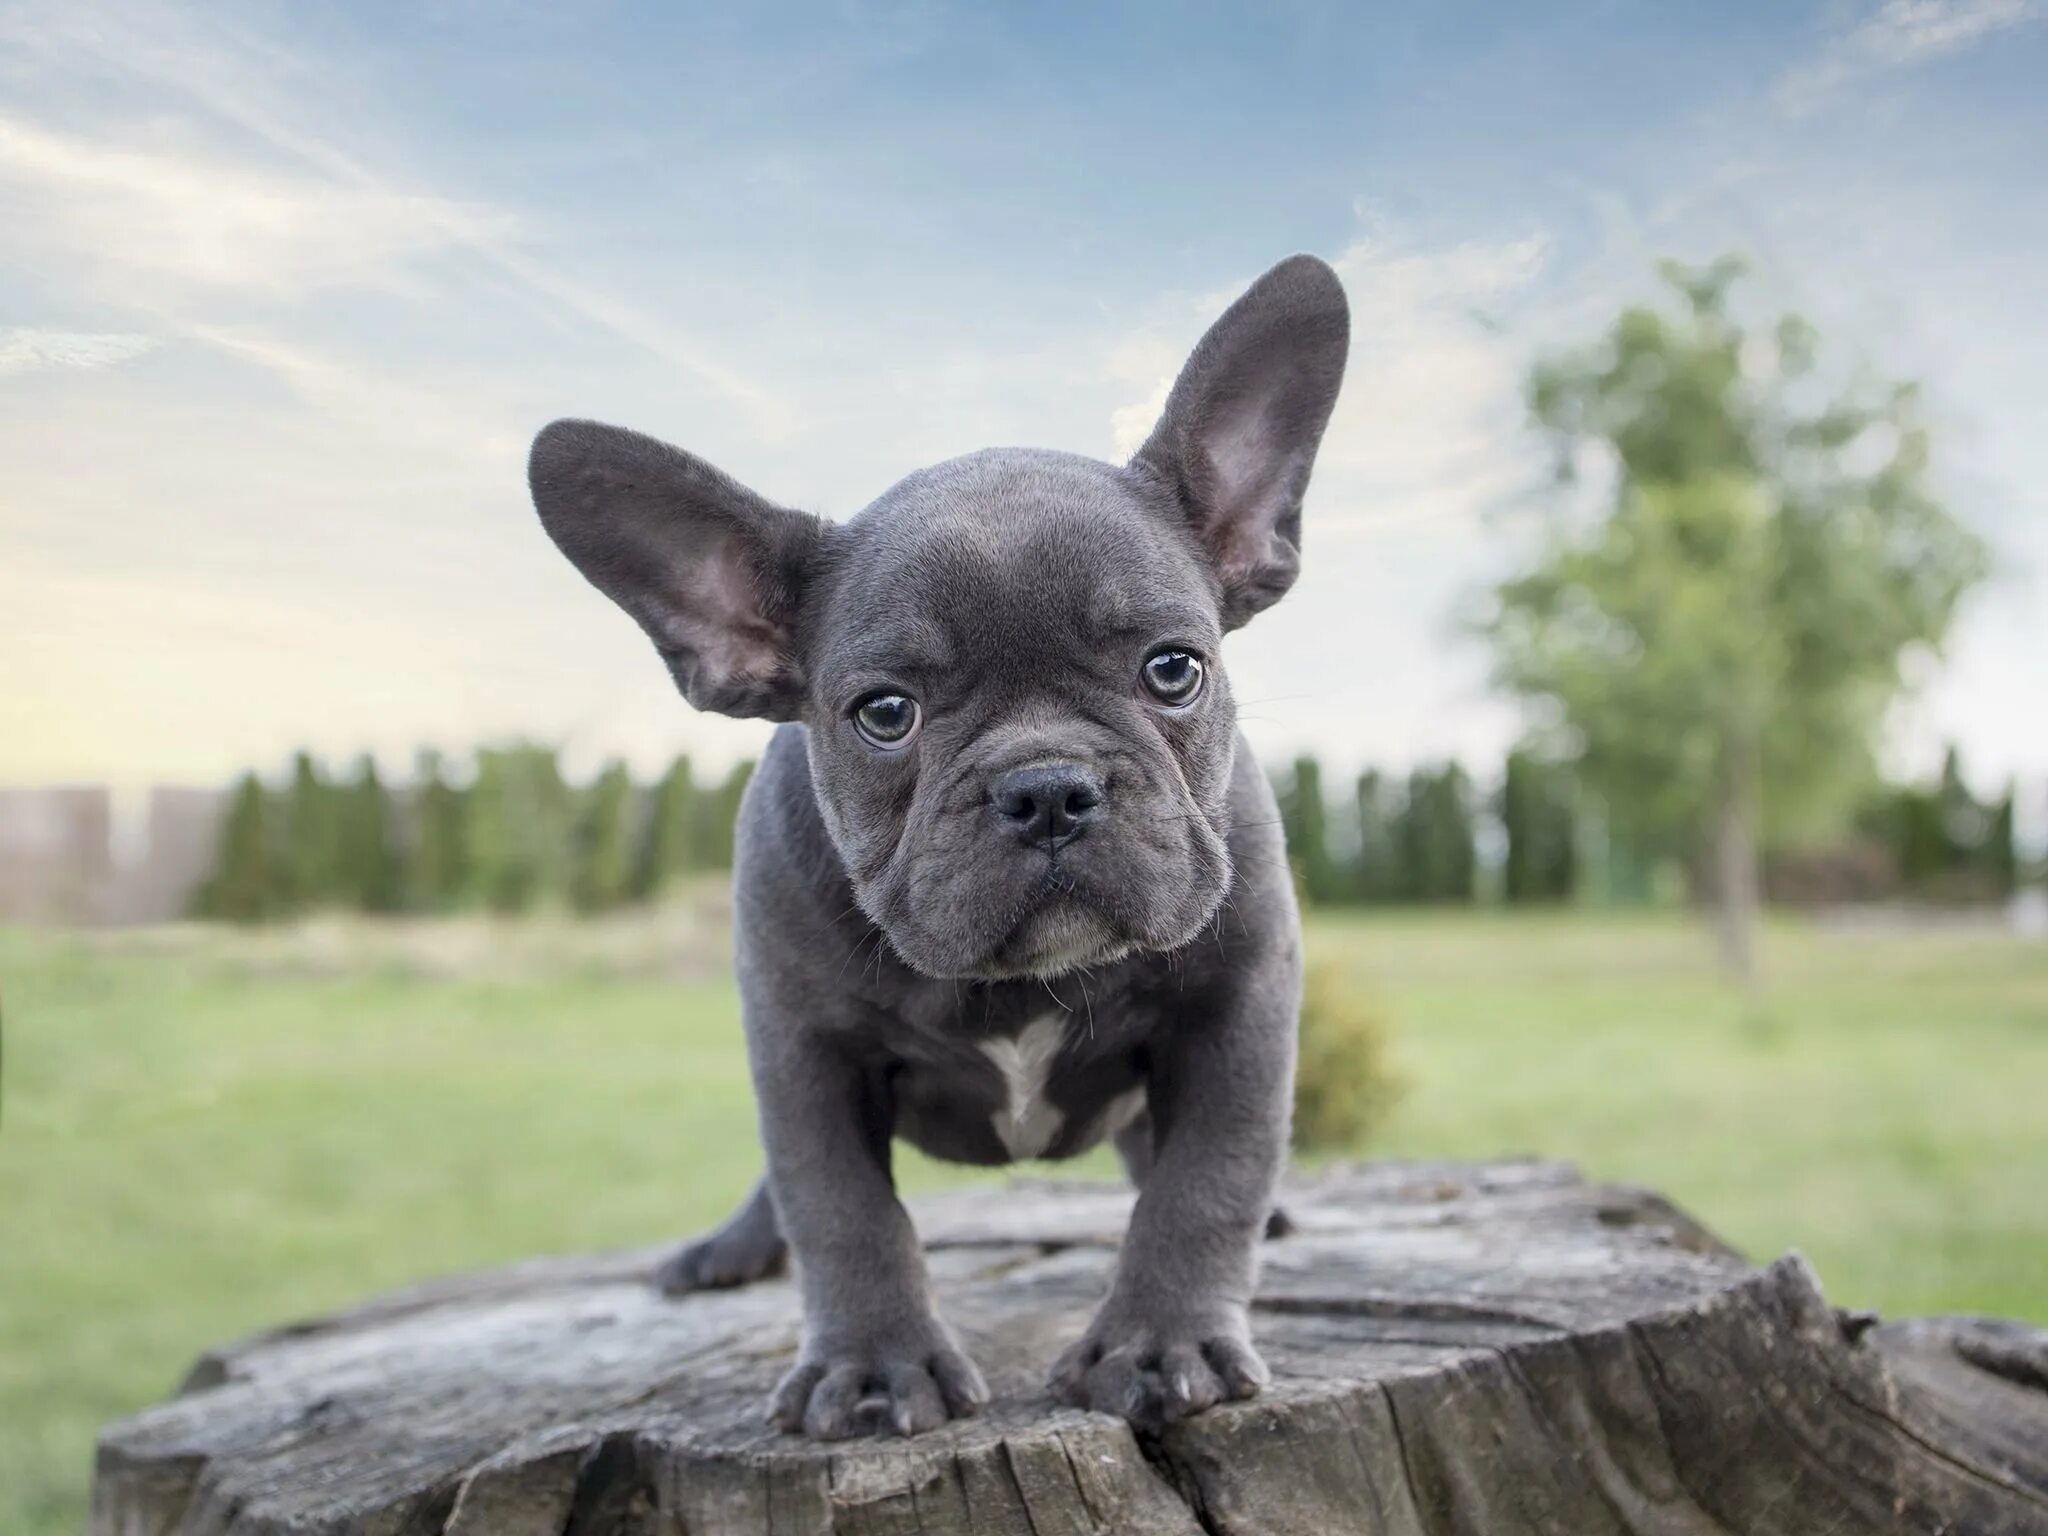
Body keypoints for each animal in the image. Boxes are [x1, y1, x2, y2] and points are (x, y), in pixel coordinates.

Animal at [536, 256, 1351, 1441]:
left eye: (1173, 669)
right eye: (884, 713)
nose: (1047, 789)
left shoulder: (1236, 1002)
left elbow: (1206, 1178)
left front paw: (1162, 1343)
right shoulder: (803, 1049)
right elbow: (841, 1209)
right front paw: (874, 1366)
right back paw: (733, 1247)